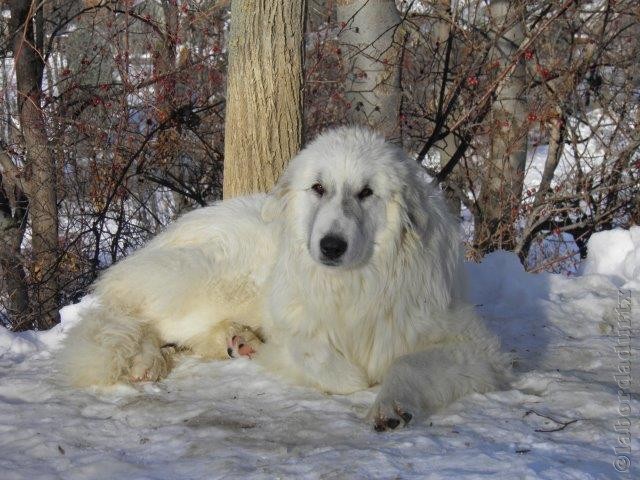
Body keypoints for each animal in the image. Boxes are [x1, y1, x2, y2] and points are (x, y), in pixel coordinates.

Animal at [61, 125, 510, 430]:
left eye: (366, 193)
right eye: (318, 188)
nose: (331, 246)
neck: (355, 284)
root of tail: (169, 234)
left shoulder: (473, 346)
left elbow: (407, 363)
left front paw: (389, 404)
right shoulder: (294, 322)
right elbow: (331, 367)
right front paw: (301, 360)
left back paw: (235, 340)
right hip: (217, 284)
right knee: (137, 318)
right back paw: (150, 358)